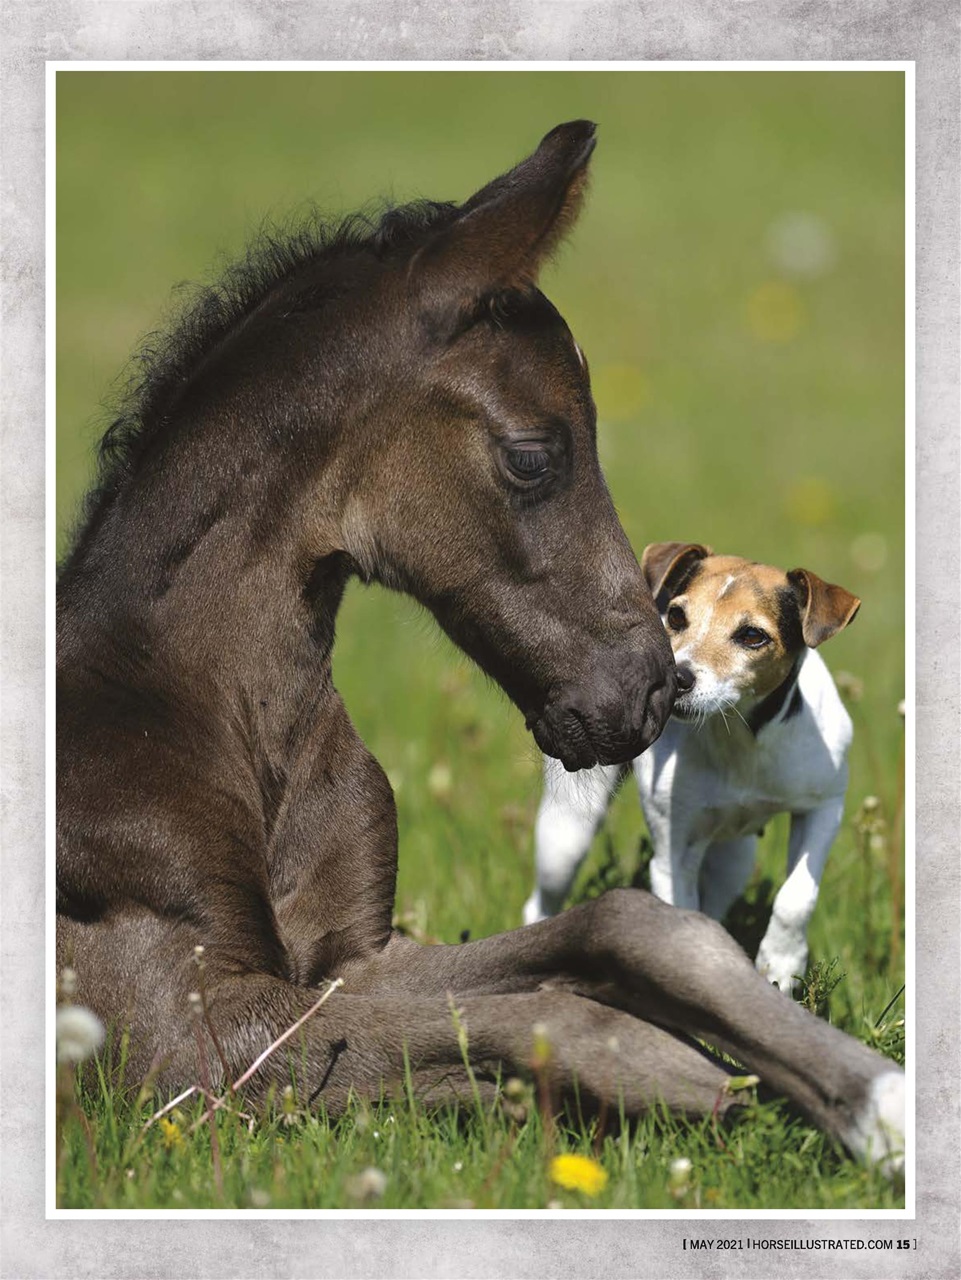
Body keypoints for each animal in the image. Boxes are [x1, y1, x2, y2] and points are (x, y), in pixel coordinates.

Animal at [57, 121, 903, 1172]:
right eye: (533, 454)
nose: (645, 693)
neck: (200, 713)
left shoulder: (359, 957)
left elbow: (639, 930)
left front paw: (873, 1101)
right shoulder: (178, 1043)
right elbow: (544, 1016)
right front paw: (673, 1078)